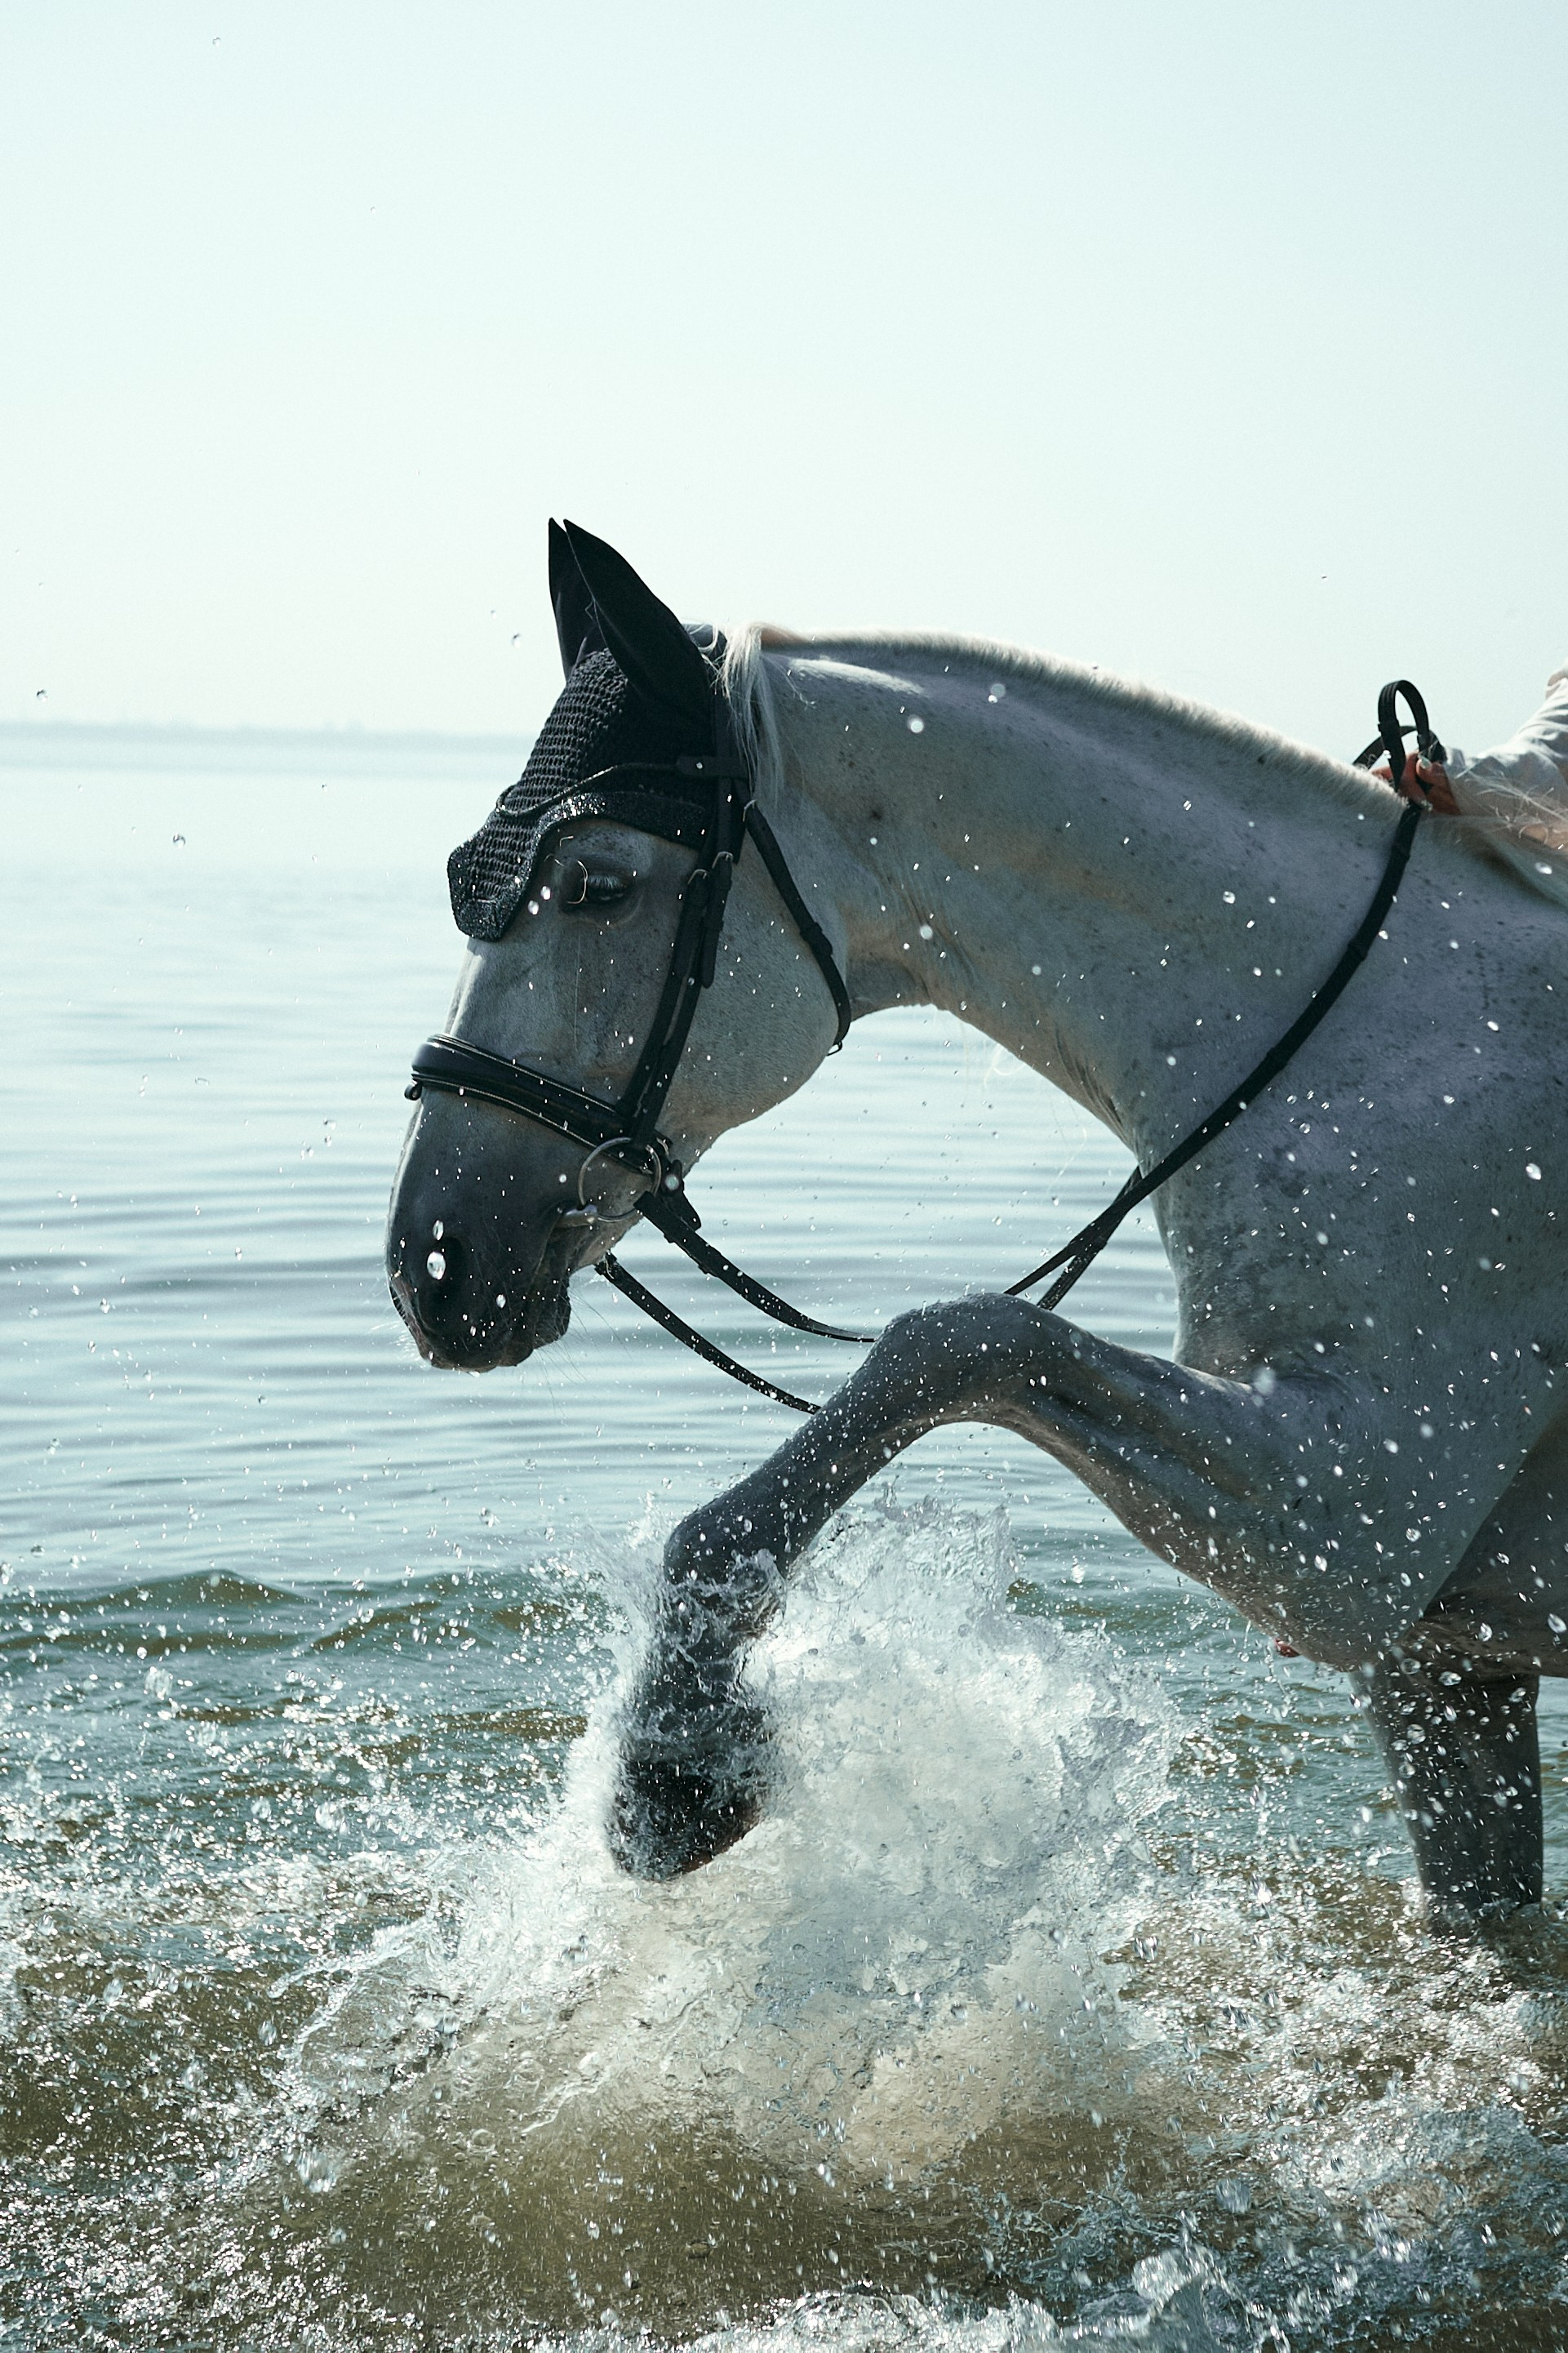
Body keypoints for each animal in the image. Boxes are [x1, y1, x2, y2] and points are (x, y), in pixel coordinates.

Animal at [386, 522, 1568, 1926]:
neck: (1377, 1048)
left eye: (597, 885)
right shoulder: (1438, 1656)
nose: (432, 1263)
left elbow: (951, 1343)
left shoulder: (1350, 1522)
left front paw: (675, 1764)